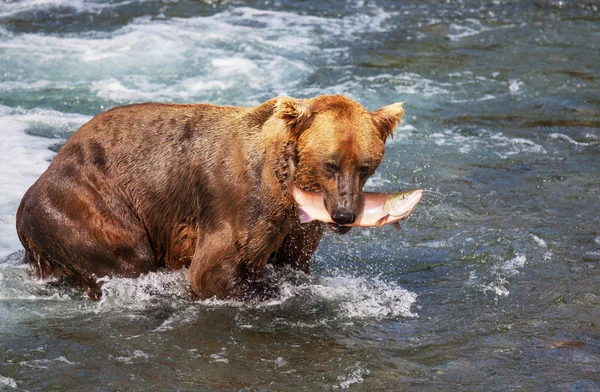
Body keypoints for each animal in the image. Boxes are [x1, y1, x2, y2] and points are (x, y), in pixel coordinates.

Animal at [16, 95, 406, 300]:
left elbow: (295, 261)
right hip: (87, 202)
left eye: (365, 166)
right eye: (331, 163)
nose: (344, 215)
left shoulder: (298, 224)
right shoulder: (240, 205)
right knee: (128, 256)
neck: (292, 187)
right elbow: (212, 273)